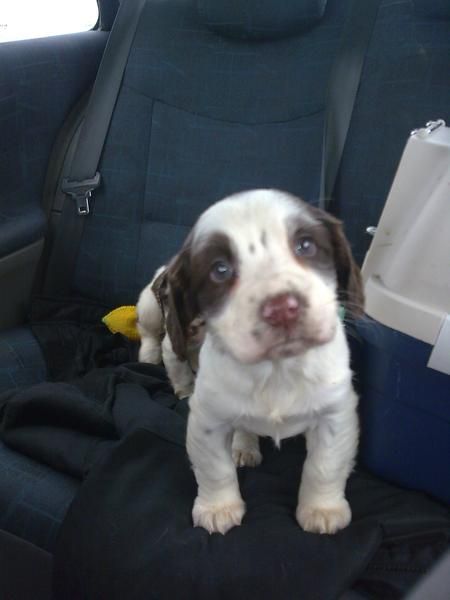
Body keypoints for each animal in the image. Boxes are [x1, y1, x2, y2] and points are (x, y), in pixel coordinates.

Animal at [144, 191, 366, 536]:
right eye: (220, 270)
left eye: (305, 245)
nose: (282, 308)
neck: (277, 369)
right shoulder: (209, 417)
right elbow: (214, 467)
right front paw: (218, 507)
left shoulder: (336, 413)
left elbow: (324, 466)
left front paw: (322, 509)